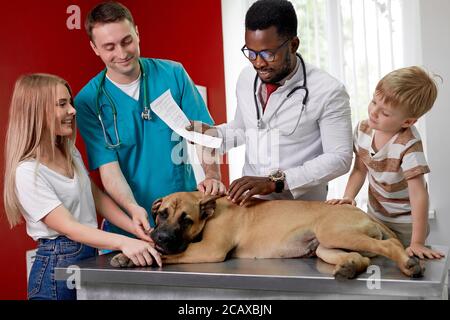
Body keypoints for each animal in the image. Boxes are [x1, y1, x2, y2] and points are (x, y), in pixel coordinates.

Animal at [110, 191, 424, 278]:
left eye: (186, 220)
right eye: (162, 214)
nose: (161, 238)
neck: (208, 210)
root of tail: (363, 213)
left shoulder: (208, 250)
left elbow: (172, 256)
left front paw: (143, 255)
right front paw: (130, 254)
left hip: (335, 233)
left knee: (391, 244)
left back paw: (409, 263)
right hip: (326, 245)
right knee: (362, 257)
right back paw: (348, 267)